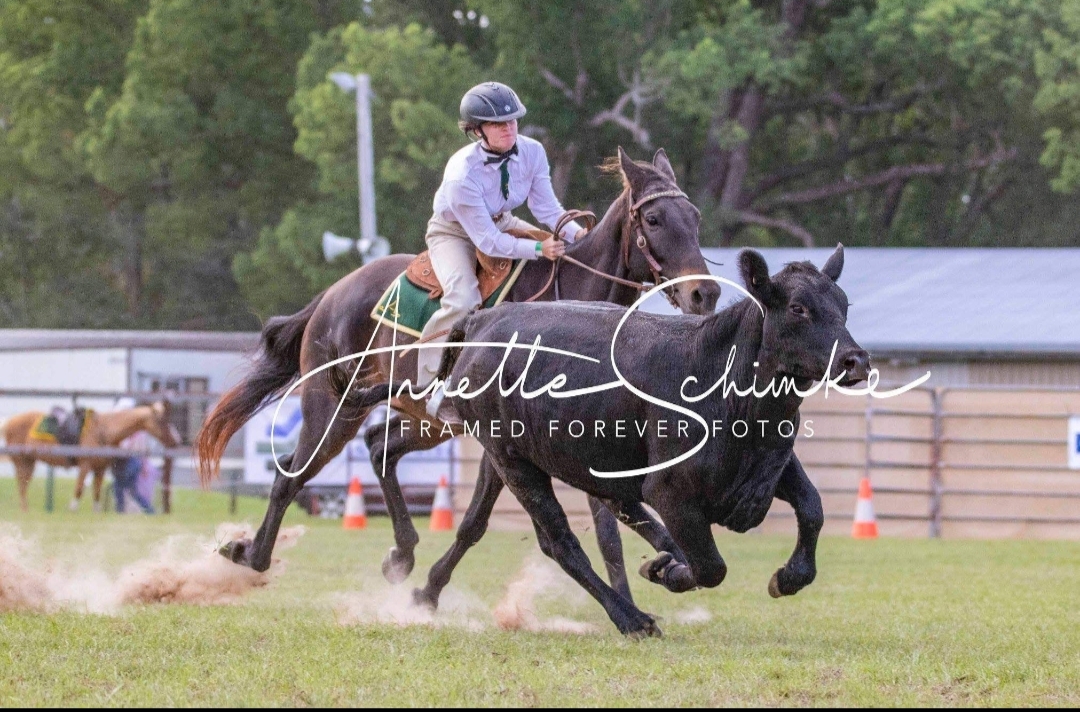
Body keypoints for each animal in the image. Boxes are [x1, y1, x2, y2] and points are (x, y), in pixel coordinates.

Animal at [3, 400, 180, 512]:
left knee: (22, 487)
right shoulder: (85, 466)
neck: (103, 430)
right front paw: (72, 509)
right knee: (22, 487)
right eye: (161, 421)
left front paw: (96, 513)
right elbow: (80, 488)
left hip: (28, 462)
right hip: (22, 462)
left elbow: (96, 492)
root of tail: (8, 423)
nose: (175, 441)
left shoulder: (100, 469)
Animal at [195, 148, 721, 585]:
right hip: (333, 409)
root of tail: (331, 295)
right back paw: (251, 555)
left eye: (695, 216)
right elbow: (479, 522)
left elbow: (618, 523)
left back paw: (401, 553)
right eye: (653, 217)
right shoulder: (508, 445)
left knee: (379, 446)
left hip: (428, 421)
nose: (705, 293)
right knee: (291, 474)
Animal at [391, 245, 869, 636]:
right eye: (798, 307)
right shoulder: (669, 491)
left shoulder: (770, 470)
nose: (856, 360)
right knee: (563, 544)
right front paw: (667, 573)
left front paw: (788, 576)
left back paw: (426, 594)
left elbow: (812, 508)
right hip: (514, 463)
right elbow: (709, 566)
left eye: (843, 304)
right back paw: (631, 618)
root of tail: (484, 319)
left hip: (518, 459)